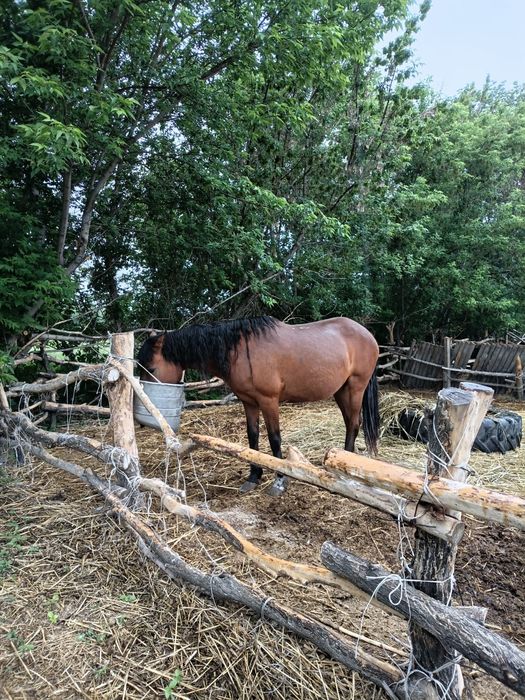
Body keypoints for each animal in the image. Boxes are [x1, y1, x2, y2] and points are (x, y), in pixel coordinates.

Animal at [137, 316, 380, 496]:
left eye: (151, 368)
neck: (240, 350)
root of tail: (368, 335)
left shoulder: (268, 401)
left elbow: (274, 439)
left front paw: (279, 481)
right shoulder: (249, 402)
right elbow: (252, 437)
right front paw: (253, 476)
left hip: (355, 388)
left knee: (354, 423)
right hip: (341, 391)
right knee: (349, 423)